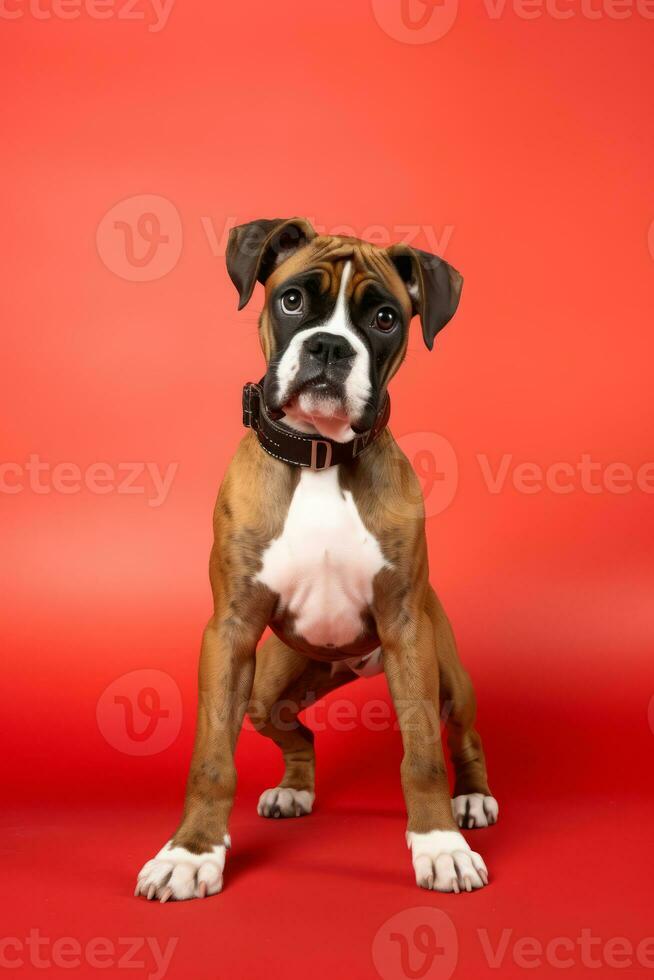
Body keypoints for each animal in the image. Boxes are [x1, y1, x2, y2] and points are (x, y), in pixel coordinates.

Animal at [136, 216, 500, 904]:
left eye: (384, 318)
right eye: (291, 300)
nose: (330, 347)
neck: (320, 456)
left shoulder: (408, 634)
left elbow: (422, 756)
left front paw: (439, 845)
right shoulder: (229, 637)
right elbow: (212, 760)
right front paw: (191, 853)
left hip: (444, 672)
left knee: (462, 734)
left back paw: (471, 800)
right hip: (268, 686)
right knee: (294, 730)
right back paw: (293, 790)